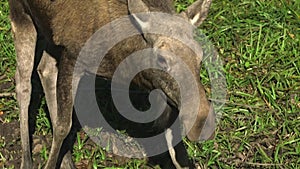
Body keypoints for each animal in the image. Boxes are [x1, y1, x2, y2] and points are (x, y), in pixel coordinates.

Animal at [9, 0, 216, 168]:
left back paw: (66, 160)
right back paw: (27, 161)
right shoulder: (72, 57)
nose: (202, 123)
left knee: (45, 69)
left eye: (200, 56)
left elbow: (177, 150)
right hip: (21, 14)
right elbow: (63, 126)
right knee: (23, 83)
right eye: (161, 59)